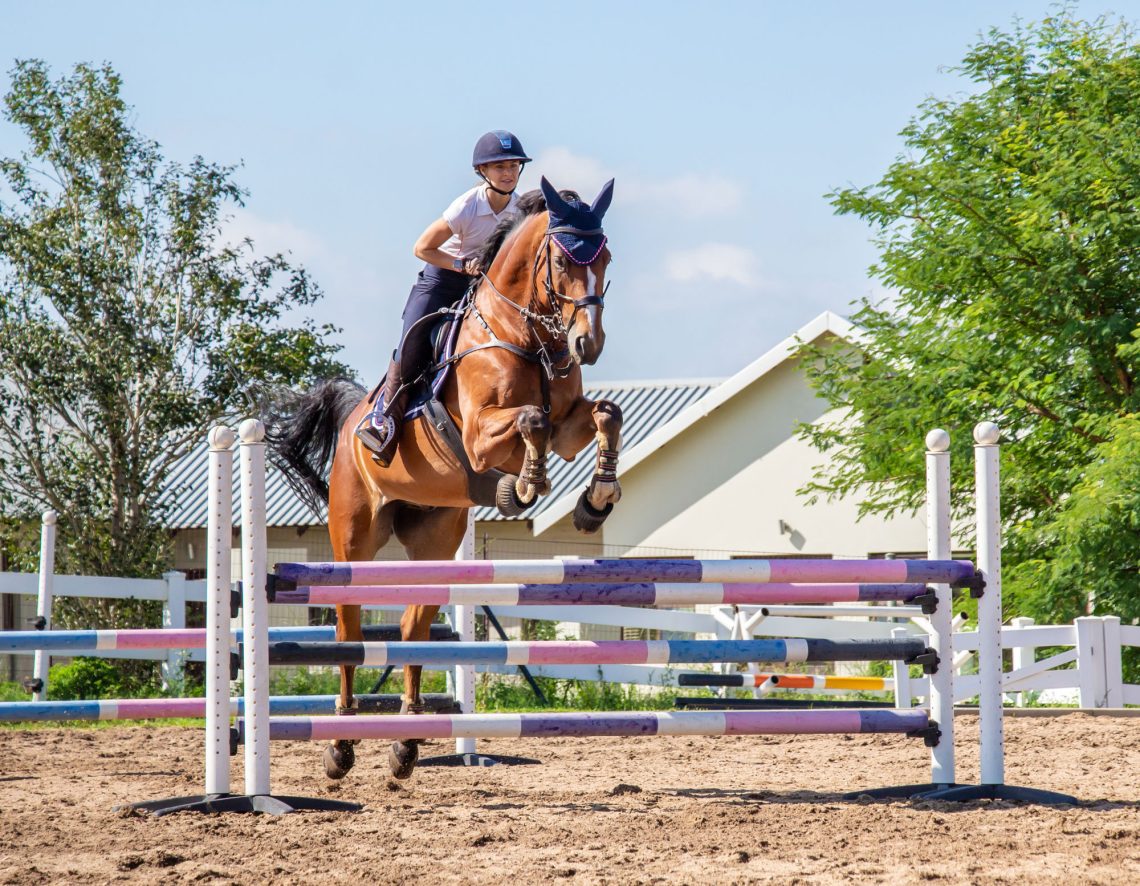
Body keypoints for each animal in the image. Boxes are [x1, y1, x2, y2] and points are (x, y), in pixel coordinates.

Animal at [264, 176, 624, 779]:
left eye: (605, 259)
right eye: (560, 259)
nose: (588, 345)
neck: (526, 335)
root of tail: (351, 420)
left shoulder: (571, 426)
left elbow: (604, 416)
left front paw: (596, 501)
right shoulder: (480, 435)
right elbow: (532, 419)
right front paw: (524, 484)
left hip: (434, 536)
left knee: (412, 629)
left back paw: (407, 742)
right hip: (353, 538)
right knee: (348, 629)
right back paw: (341, 745)